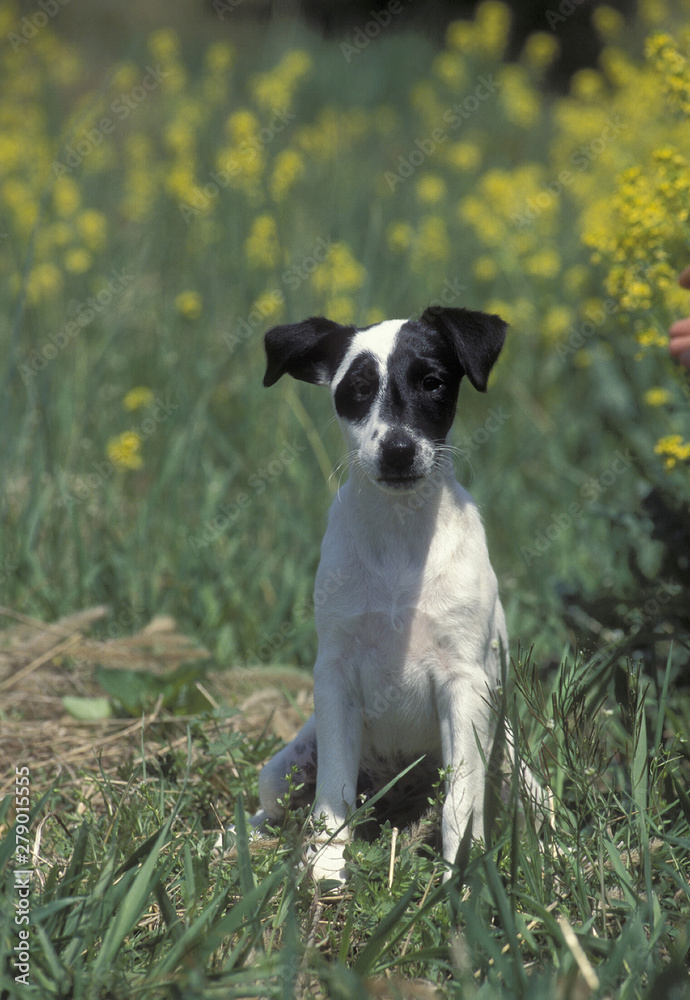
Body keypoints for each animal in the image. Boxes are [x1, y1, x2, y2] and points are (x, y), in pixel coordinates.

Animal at [253, 306, 506, 884]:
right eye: (358, 389)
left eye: (432, 382)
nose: (397, 450)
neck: (398, 539)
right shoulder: (336, 676)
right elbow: (333, 795)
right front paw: (326, 869)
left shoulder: (464, 683)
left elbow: (460, 801)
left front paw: (461, 879)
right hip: (285, 766)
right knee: (273, 806)